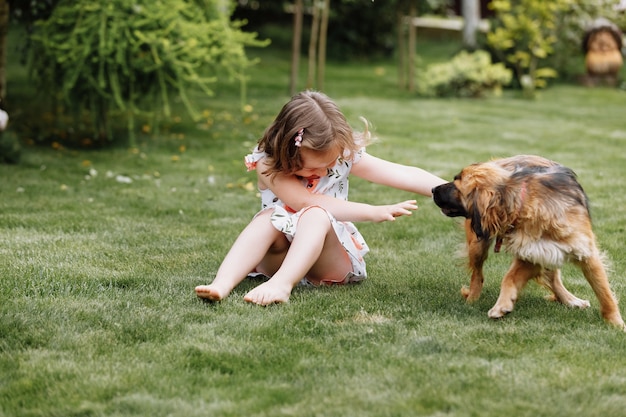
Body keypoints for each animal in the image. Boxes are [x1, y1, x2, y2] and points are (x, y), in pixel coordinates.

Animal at [432, 154, 620, 328]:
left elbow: (603, 290)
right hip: (479, 244)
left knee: (554, 278)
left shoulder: (582, 252)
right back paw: (472, 299)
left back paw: (570, 300)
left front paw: (615, 322)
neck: (521, 202)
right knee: (477, 274)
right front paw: (502, 305)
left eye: (457, 184)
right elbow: (508, 278)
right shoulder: (531, 252)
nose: (433, 188)